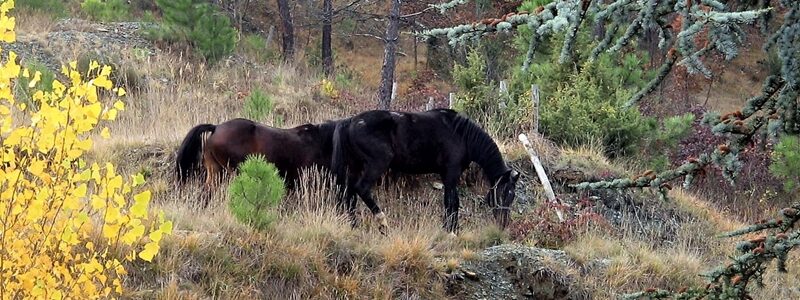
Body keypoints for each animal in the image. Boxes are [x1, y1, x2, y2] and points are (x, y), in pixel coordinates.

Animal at [330, 108, 520, 234]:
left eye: (512, 195)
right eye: (504, 192)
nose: (504, 223)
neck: (461, 135)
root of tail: (350, 121)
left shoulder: (447, 175)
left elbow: (450, 202)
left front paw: (450, 228)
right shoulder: (451, 174)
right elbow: (452, 202)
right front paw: (452, 231)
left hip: (355, 167)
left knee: (349, 193)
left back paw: (353, 225)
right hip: (376, 164)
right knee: (362, 189)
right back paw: (382, 222)